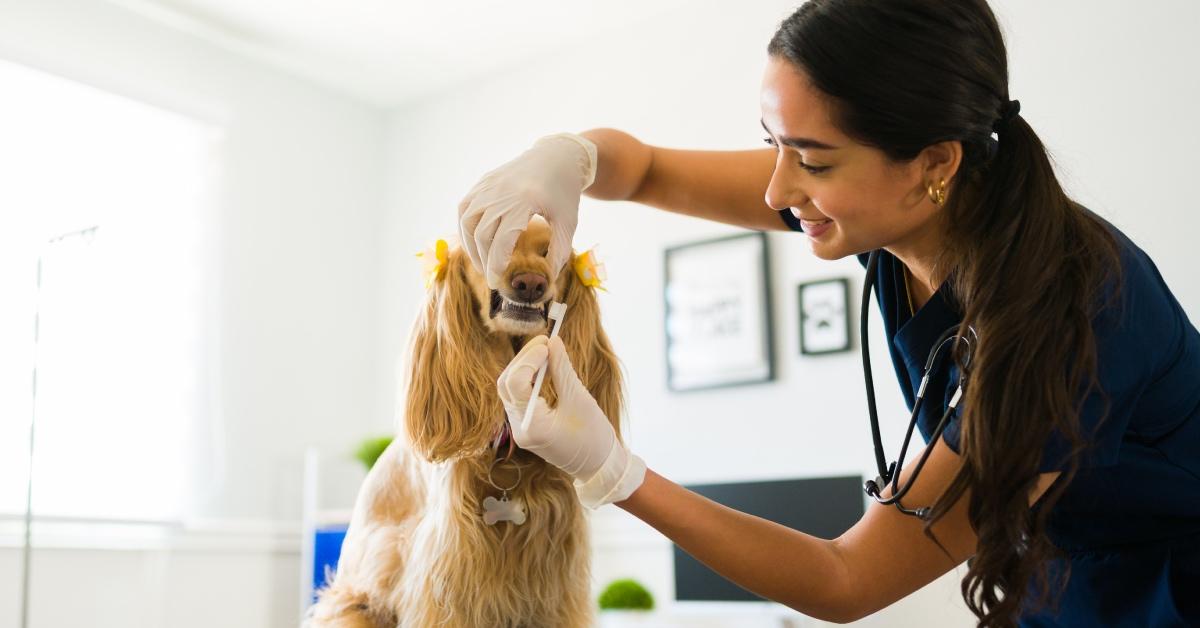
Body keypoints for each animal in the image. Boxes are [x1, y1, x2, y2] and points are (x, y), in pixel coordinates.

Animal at [309, 217, 624, 628]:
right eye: (492, 241)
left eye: (549, 251)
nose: (530, 283)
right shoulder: (450, 579)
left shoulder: (557, 587)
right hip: (352, 606)